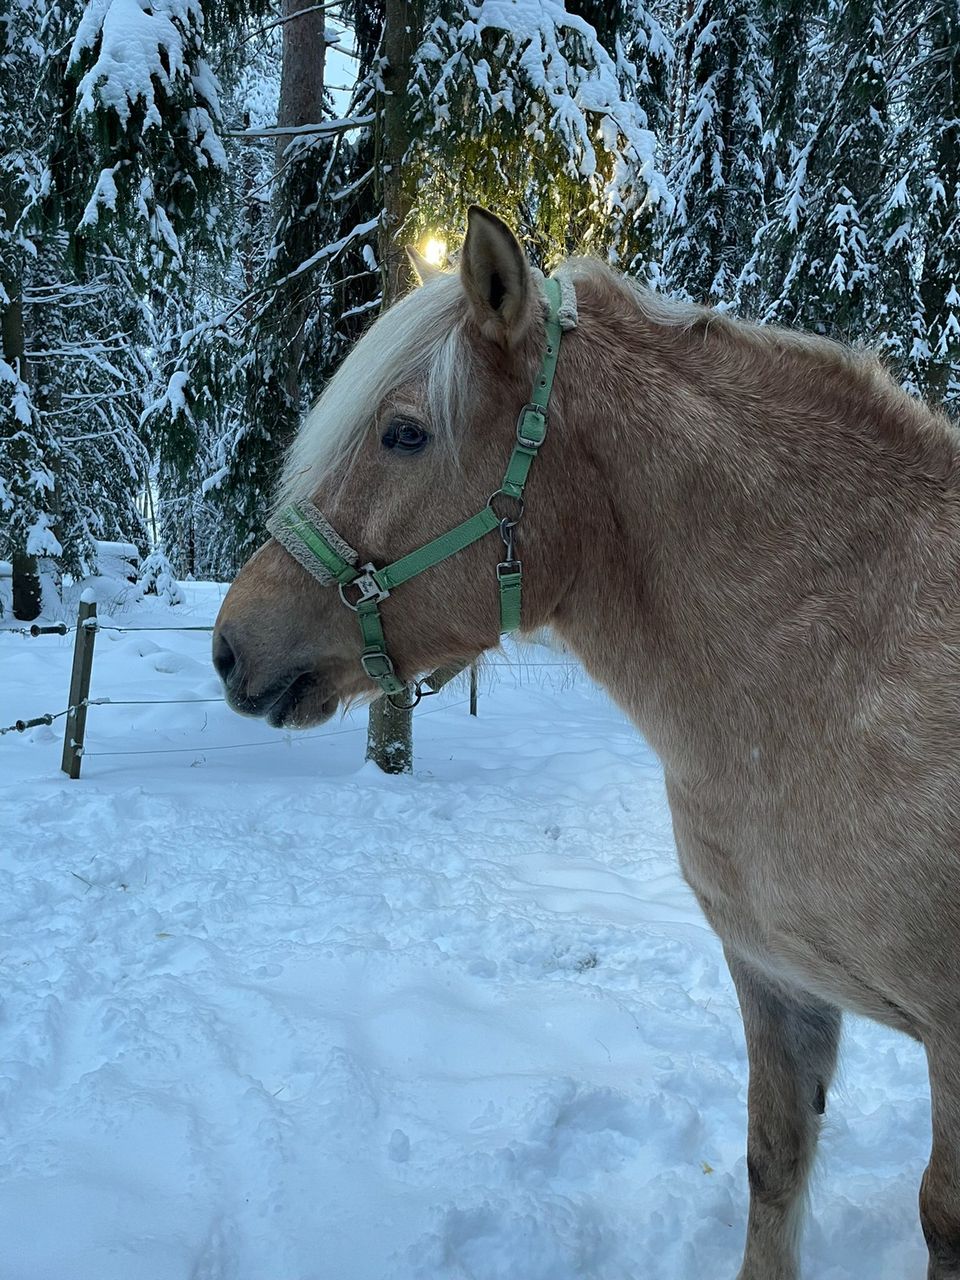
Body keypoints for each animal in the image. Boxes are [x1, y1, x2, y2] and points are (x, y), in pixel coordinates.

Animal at [213, 204, 960, 1274]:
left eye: (404, 433)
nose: (231, 645)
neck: (846, 664)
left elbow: (939, 1215)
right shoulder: (777, 983)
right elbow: (771, 1161)